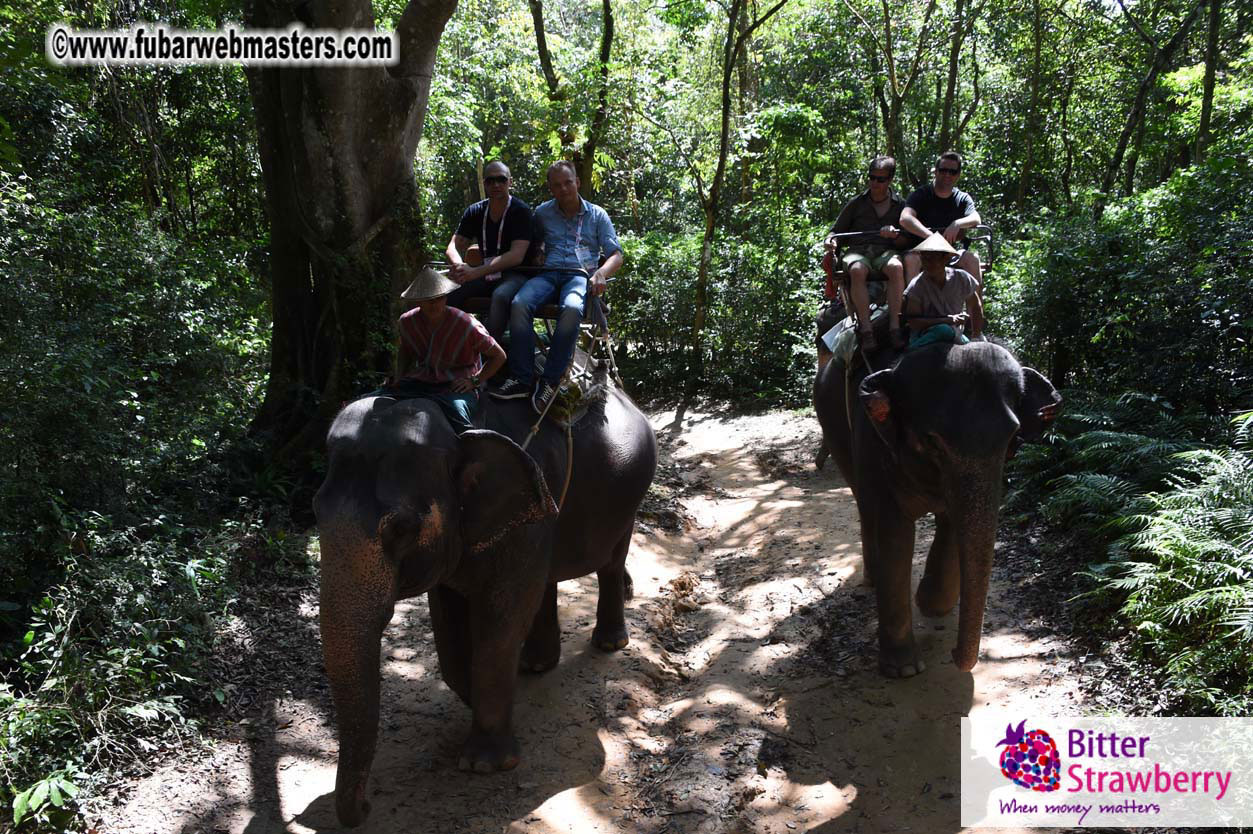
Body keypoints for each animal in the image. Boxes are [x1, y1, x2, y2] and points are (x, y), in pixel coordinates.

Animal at [313, 375, 657, 827]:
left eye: (402, 529)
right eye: (313, 514)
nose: (367, 807)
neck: (458, 425)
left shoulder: (531, 505)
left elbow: (504, 614)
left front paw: (485, 764)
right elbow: (448, 623)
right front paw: (480, 702)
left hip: (627, 496)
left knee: (612, 560)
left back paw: (610, 643)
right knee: (548, 579)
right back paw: (536, 664)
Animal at [814, 323, 1060, 678]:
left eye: (1013, 439)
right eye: (931, 440)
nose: (955, 655)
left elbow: (953, 522)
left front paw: (931, 603)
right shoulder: (874, 441)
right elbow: (894, 532)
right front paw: (904, 669)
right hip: (833, 425)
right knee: (863, 502)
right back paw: (872, 579)